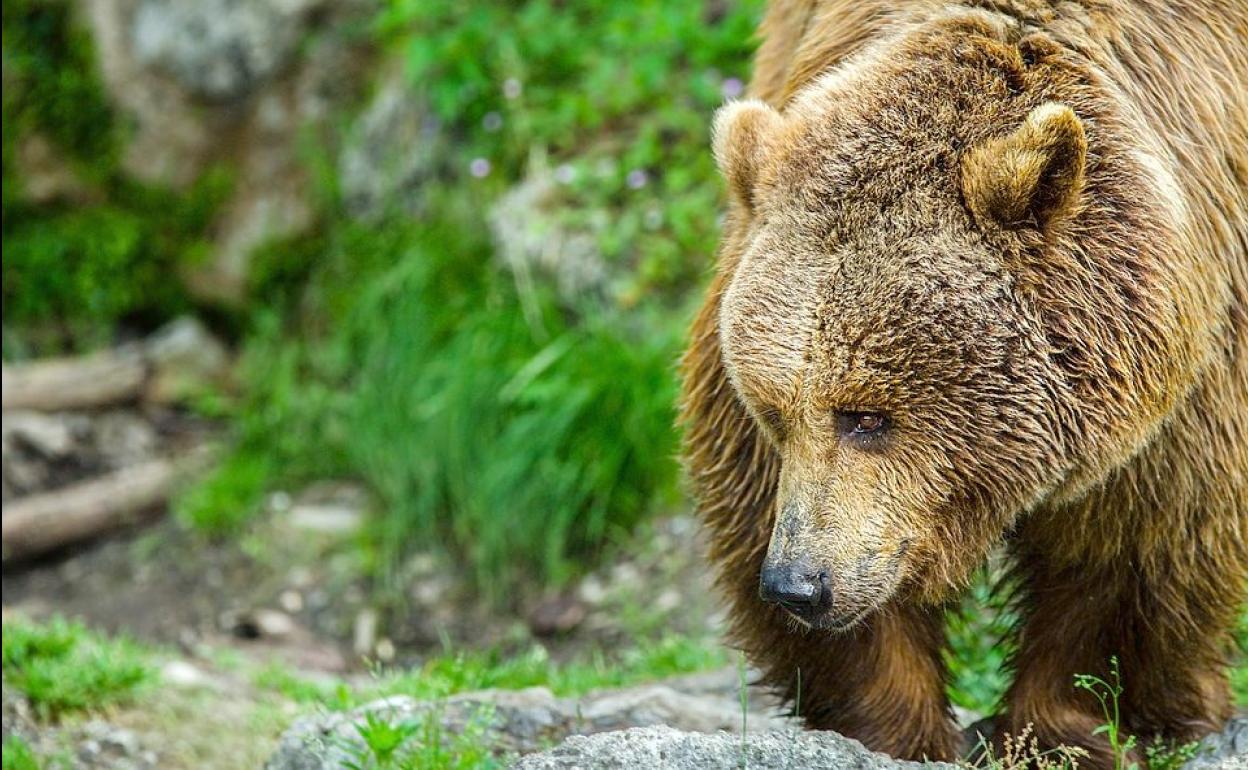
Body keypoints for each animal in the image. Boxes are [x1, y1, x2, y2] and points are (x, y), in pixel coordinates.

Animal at [683, 0, 1248, 763]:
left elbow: (1138, 545)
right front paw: (895, 726)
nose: (798, 585)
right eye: (774, 412)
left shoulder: (1190, 368)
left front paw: (1073, 728)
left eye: (867, 416)